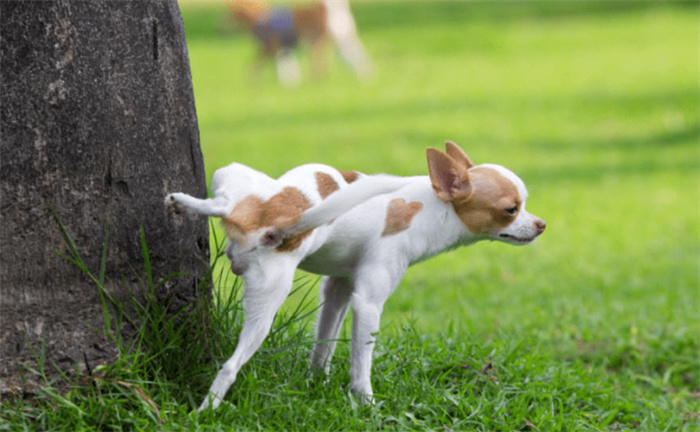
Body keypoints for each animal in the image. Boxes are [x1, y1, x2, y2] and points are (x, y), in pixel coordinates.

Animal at [165, 143, 548, 412]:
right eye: (511, 210)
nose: (541, 224)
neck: (430, 207)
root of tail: (276, 222)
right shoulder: (368, 304)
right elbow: (361, 366)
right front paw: (367, 406)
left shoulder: (338, 290)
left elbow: (323, 346)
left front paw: (316, 384)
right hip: (270, 296)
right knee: (230, 367)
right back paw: (204, 413)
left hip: (234, 181)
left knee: (224, 203)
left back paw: (184, 202)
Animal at [228, 0, 372, 87]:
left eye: (229, 13)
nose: (224, 24)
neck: (259, 17)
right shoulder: (282, 49)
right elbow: (285, 67)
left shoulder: (270, 48)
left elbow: (256, 66)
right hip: (336, 40)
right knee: (351, 57)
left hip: (321, 42)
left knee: (327, 63)